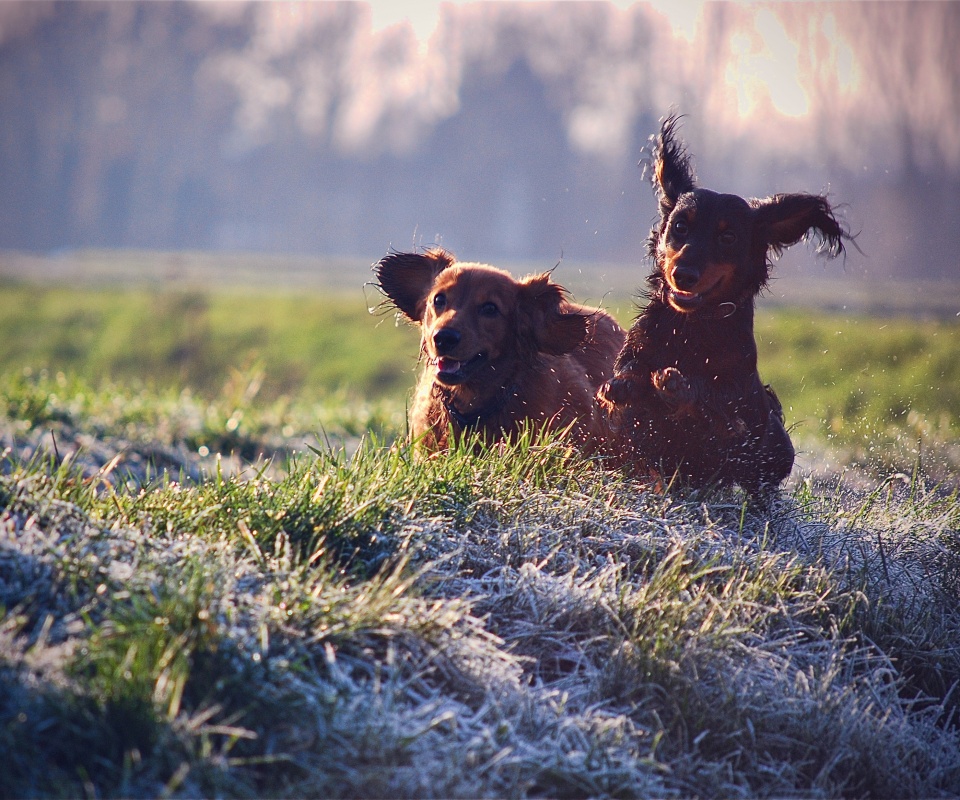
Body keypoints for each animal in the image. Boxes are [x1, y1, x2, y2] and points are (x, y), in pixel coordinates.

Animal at [600, 115, 848, 496]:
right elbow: (629, 380)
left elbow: (717, 408)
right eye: (680, 226)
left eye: (728, 236)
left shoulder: (738, 416)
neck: (692, 326)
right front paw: (626, 385)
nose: (683, 275)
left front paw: (678, 386)